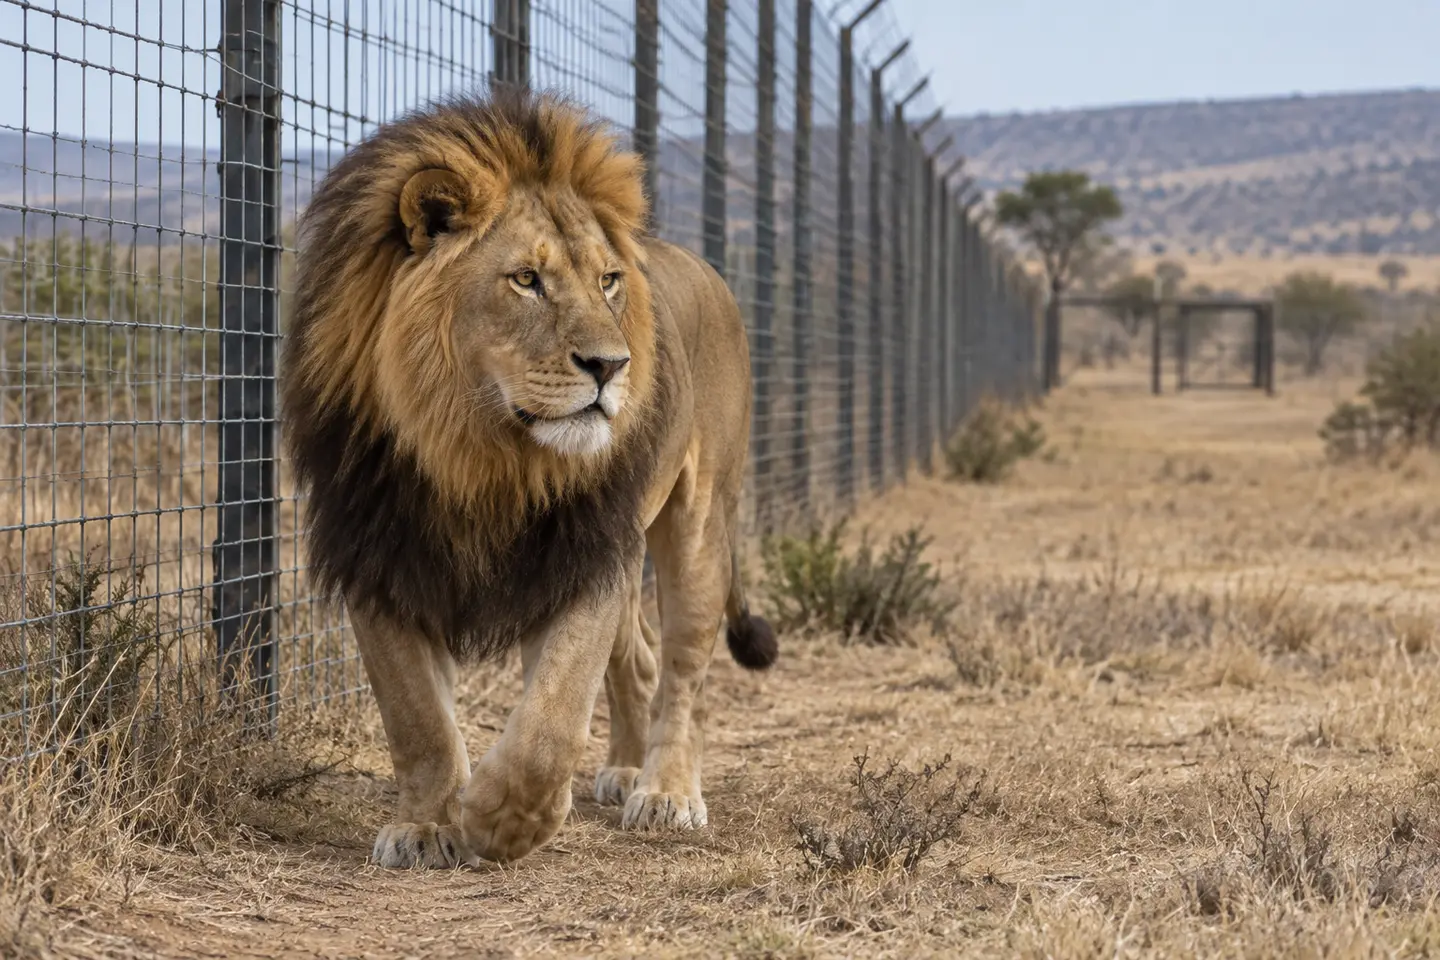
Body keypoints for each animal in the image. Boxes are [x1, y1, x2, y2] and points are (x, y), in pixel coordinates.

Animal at [281, 88, 777, 867]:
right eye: (526, 280)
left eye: (607, 281)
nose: (612, 365)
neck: (480, 454)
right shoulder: (377, 549)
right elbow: (416, 715)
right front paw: (425, 826)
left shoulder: (584, 550)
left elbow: (553, 716)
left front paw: (503, 817)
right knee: (638, 661)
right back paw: (624, 768)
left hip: (699, 522)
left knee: (684, 672)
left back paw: (665, 791)